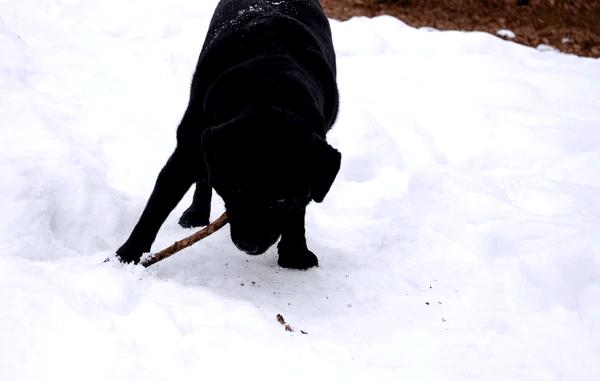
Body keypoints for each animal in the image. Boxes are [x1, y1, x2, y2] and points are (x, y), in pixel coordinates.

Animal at [115, 0, 340, 270]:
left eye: (280, 200)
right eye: (235, 190)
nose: (248, 245)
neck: (270, 90)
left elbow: (299, 208)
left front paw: (295, 254)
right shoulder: (187, 152)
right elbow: (156, 207)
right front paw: (125, 258)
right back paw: (197, 214)